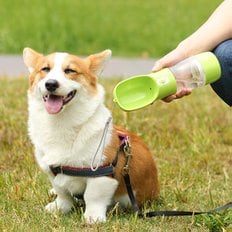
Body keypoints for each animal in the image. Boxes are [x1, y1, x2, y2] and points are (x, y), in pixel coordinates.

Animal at [22, 48, 159, 224]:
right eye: (45, 69)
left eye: (70, 70)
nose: (51, 84)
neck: (61, 123)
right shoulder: (52, 172)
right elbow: (62, 193)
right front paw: (59, 207)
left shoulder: (102, 174)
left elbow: (93, 196)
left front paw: (93, 217)